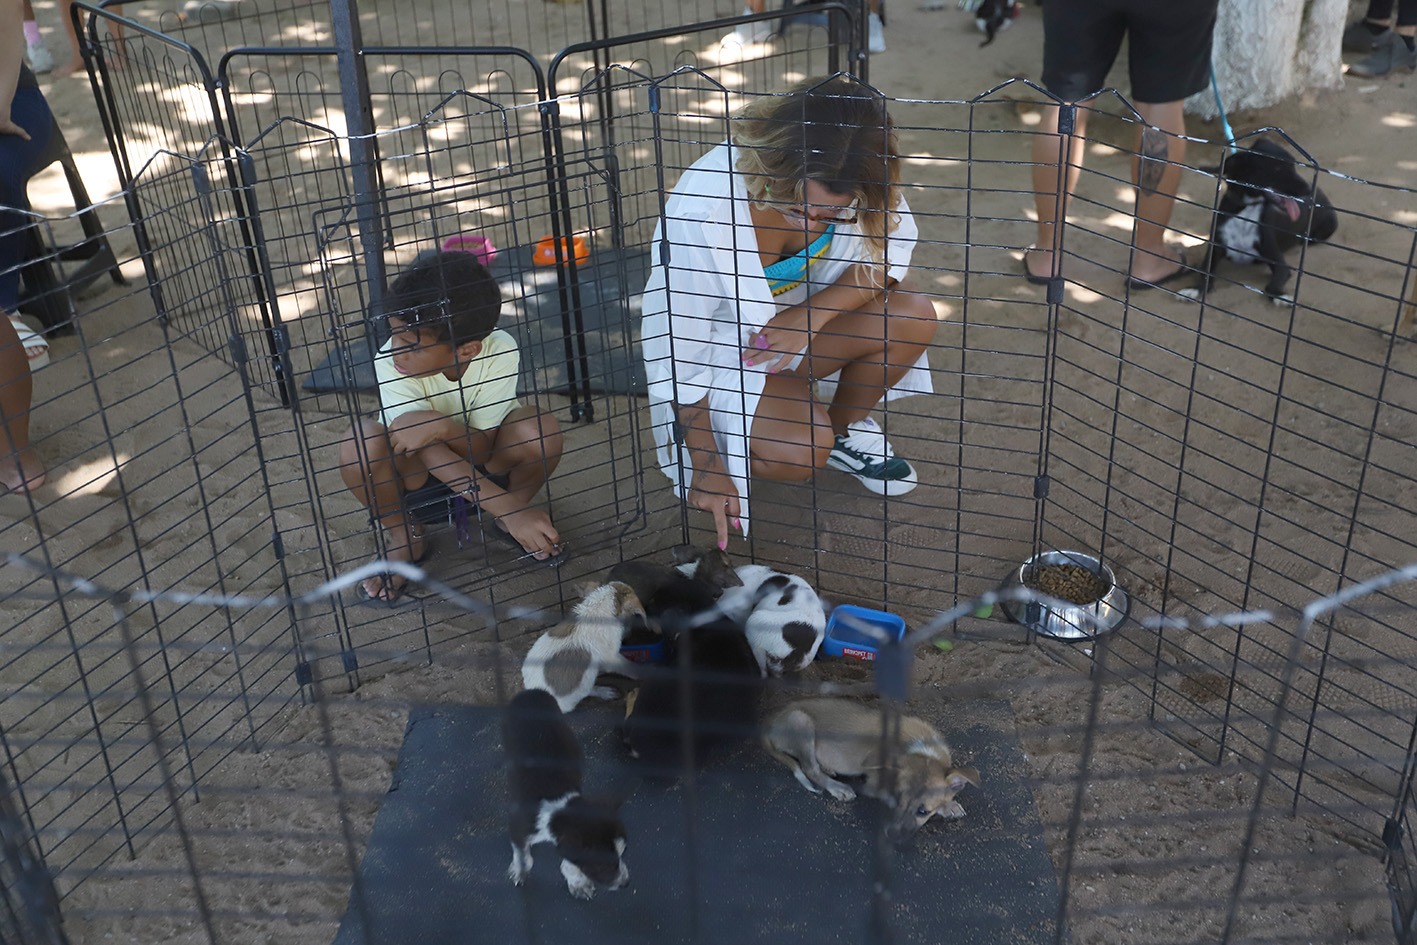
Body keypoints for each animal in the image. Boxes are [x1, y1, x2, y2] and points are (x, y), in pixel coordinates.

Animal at [501, 688, 629, 901]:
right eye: (603, 866)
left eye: (622, 853)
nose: (626, 884)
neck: (561, 805)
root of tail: (533, 691)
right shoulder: (518, 826)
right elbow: (523, 856)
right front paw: (520, 871)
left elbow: (570, 862)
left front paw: (577, 882)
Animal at [524, 580, 646, 714]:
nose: (628, 634)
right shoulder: (612, 657)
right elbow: (630, 668)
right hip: (581, 688)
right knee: (588, 691)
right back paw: (608, 692)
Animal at [765, 694, 974, 844]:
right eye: (895, 799)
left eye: (923, 812)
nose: (891, 836)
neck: (922, 749)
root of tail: (770, 724)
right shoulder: (874, 783)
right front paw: (947, 807)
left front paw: (949, 804)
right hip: (801, 720)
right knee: (810, 768)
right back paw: (838, 787)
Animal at [1195, 136, 1337, 304]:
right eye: (1277, 168)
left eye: (1293, 165)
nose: (1309, 190)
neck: (1247, 211)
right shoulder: (1215, 249)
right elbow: (1204, 273)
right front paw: (1195, 290)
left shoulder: (1280, 264)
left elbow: (1271, 287)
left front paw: (1281, 297)